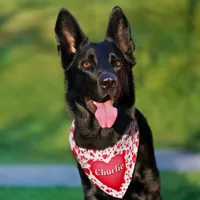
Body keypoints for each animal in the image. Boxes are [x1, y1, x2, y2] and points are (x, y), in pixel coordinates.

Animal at [54, 5, 162, 199]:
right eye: (86, 64)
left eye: (117, 63)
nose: (109, 82)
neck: (104, 136)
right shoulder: (91, 192)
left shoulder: (150, 187)